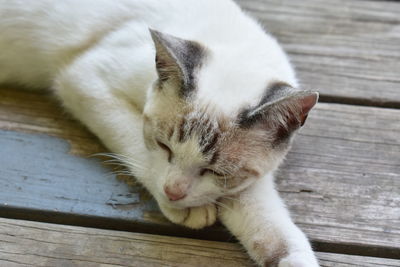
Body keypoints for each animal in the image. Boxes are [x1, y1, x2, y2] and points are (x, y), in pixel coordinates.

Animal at [0, 1, 318, 266]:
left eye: (216, 172)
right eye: (164, 146)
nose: (173, 192)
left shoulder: (248, 179)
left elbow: (268, 221)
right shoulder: (84, 78)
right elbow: (137, 147)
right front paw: (182, 206)